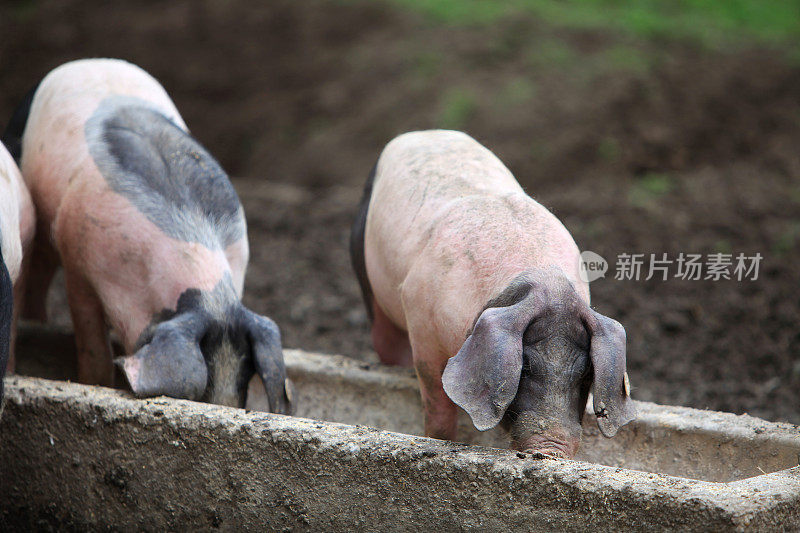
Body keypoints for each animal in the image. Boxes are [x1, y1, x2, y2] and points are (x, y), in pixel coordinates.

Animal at [9, 59, 292, 412]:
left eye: (245, 379)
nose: (224, 404)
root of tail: (89, 61)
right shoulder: (78, 261)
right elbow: (93, 346)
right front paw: (97, 381)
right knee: (37, 272)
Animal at [352, 130, 636, 458]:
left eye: (586, 373)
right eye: (524, 368)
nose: (551, 448)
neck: (543, 280)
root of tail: (422, 133)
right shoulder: (420, 319)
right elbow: (437, 401)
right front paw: (439, 440)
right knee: (385, 341)